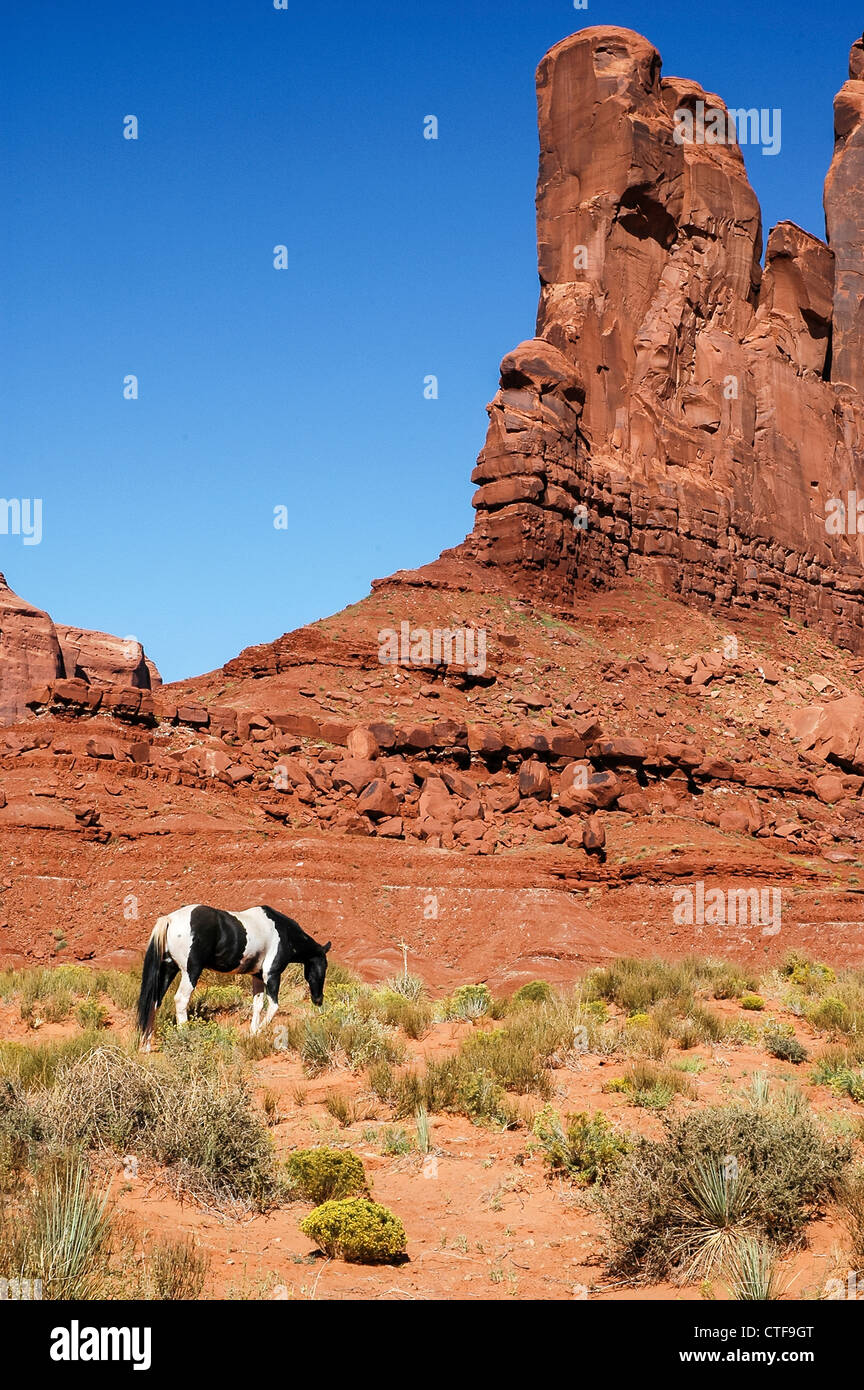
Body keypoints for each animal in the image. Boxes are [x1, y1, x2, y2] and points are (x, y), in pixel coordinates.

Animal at [138, 906, 331, 1045]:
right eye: (323, 966)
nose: (318, 999)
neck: (284, 932)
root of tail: (170, 919)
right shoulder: (272, 974)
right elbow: (274, 1006)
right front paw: (259, 1031)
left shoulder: (257, 976)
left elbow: (258, 1005)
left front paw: (253, 1033)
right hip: (190, 972)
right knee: (181, 1000)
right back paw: (185, 1038)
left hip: (168, 970)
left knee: (154, 1002)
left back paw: (145, 1045)